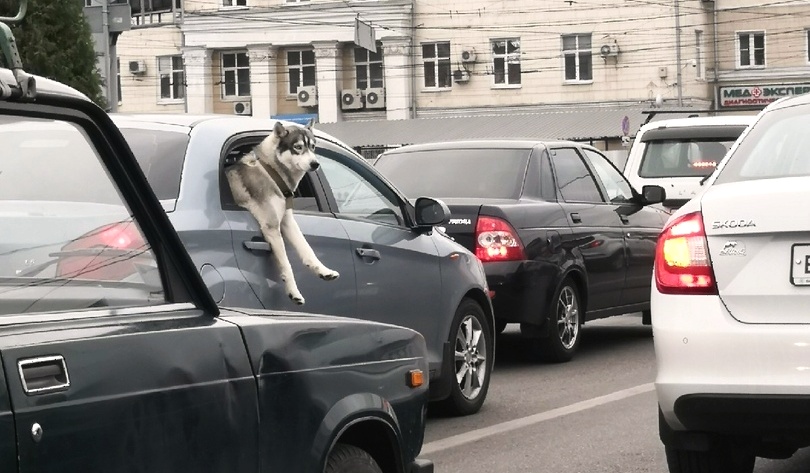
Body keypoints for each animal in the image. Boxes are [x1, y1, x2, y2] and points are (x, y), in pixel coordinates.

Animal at [227, 121, 338, 304]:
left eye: (313, 147)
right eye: (298, 147)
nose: (315, 164)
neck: (272, 171)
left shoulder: (287, 221)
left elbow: (307, 249)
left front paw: (323, 270)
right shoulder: (272, 227)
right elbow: (287, 264)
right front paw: (293, 292)